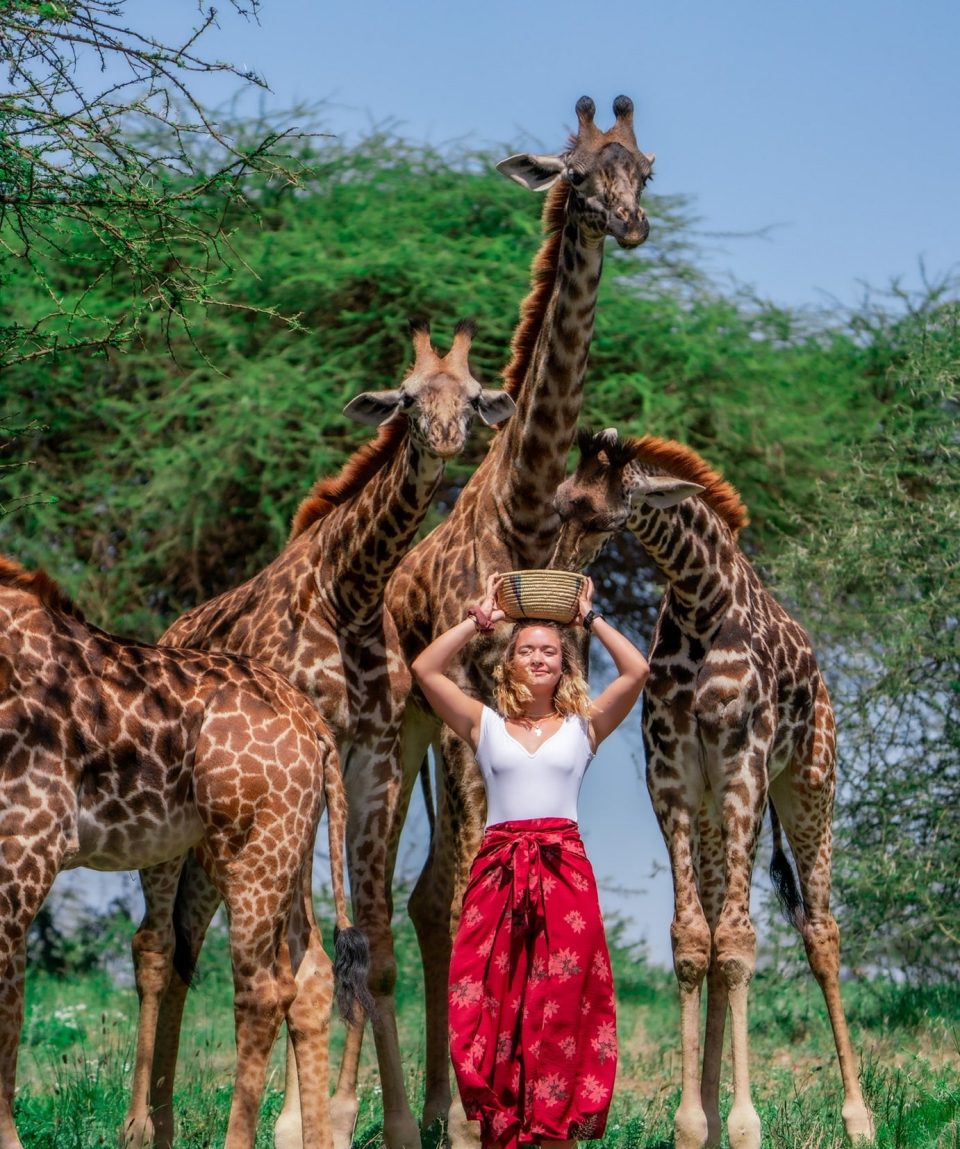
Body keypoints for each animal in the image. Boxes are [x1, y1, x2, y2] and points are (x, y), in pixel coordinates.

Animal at [0, 553, 362, 1149]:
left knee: (261, 992)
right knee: (312, 977)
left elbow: (9, 1010)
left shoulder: (29, 845)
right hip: (291, 845)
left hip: (250, 851)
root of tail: (314, 724)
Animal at [129, 319, 516, 1149]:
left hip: (216, 840)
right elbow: (304, 947)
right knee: (153, 944)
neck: (352, 584)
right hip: (172, 832)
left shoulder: (373, 755)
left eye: (473, 397)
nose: (443, 438)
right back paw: (139, 1124)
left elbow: (367, 941)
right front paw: (299, 1124)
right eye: (407, 398)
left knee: (184, 942)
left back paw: (169, 1119)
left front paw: (387, 1126)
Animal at [378, 91, 656, 1139]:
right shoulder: (467, 692)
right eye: (575, 174)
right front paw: (471, 1118)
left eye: (642, 170)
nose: (631, 225)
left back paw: (418, 1109)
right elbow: (467, 882)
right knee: (391, 894)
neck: (526, 505)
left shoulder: (562, 683)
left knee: (419, 893)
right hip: (399, 725)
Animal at [546, 432, 877, 1149]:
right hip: (716, 817)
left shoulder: (744, 768)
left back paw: (859, 1118)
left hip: (807, 788)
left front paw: (748, 1124)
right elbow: (695, 939)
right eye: (559, 504)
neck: (701, 603)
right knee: (726, 922)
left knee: (820, 932)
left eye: (603, 516)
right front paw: (693, 1122)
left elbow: (741, 943)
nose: (556, 583)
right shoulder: (672, 780)